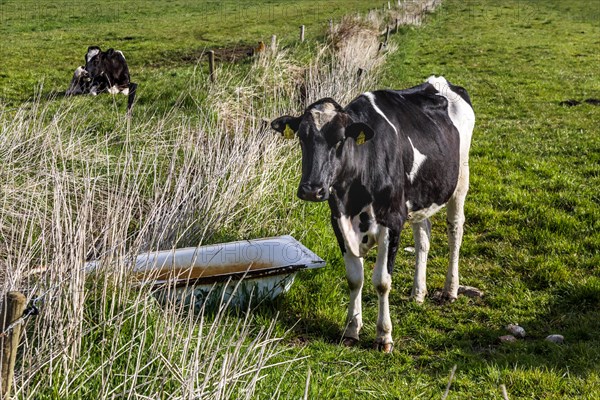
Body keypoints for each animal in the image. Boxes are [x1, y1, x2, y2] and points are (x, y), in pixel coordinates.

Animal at [270, 76, 474, 352]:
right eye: (302, 137)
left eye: (340, 140)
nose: (312, 189)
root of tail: (439, 81)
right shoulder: (339, 221)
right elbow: (355, 278)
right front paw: (351, 329)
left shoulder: (393, 220)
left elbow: (382, 281)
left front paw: (383, 336)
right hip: (420, 196)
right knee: (423, 237)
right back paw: (418, 293)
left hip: (460, 181)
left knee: (455, 231)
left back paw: (450, 290)